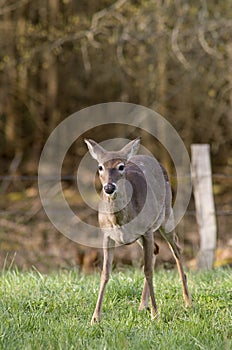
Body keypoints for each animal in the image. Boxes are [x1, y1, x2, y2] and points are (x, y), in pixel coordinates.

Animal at [84, 138, 191, 324]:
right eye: (100, 167)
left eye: (121, 166)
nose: (109, 187)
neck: (119, 222)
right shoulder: (107, 235)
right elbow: (105, 273)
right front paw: (95, 318)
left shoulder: (147, 230)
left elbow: (148, 271)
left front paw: (156, 314)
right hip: (142, 235)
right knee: (157, 249)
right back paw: (142, 305)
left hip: (166, 217)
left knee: (177, 249)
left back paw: (187, 302)